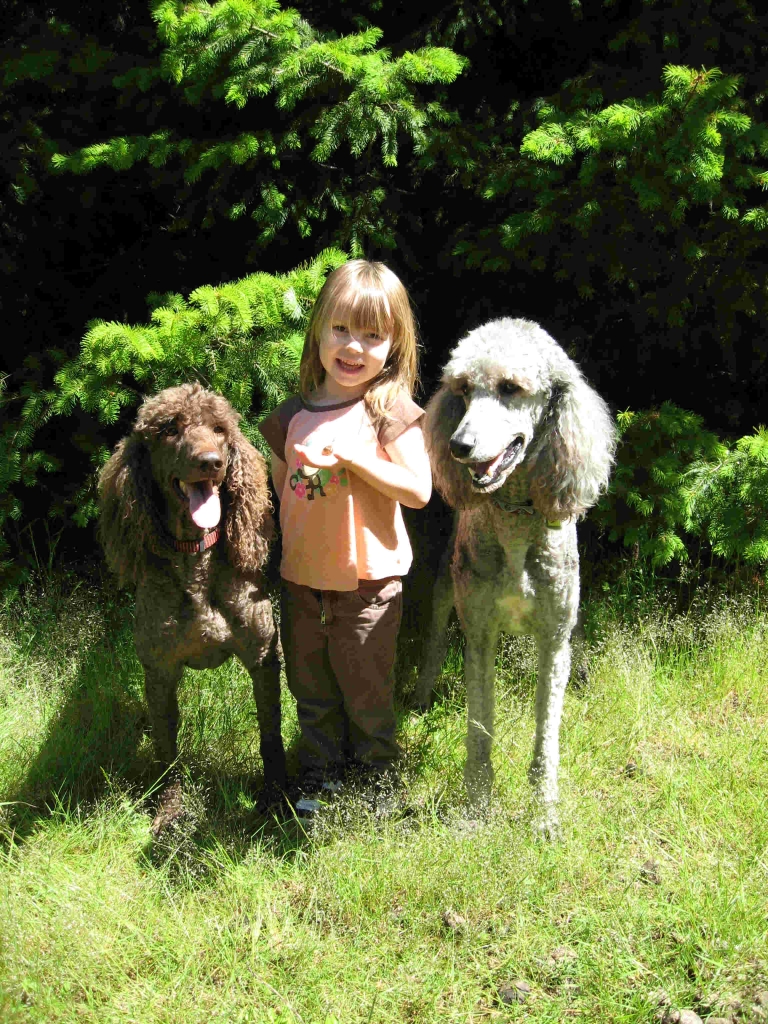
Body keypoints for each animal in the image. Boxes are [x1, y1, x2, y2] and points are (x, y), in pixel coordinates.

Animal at [98, 385, 286, 823]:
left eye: (219, 429)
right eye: (169, 429)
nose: (211, 462)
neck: (195, 559)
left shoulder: (263, 658)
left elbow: (270, 734)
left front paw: (274, 799)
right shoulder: (160, 672)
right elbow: (167, 751)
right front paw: (170, 811)